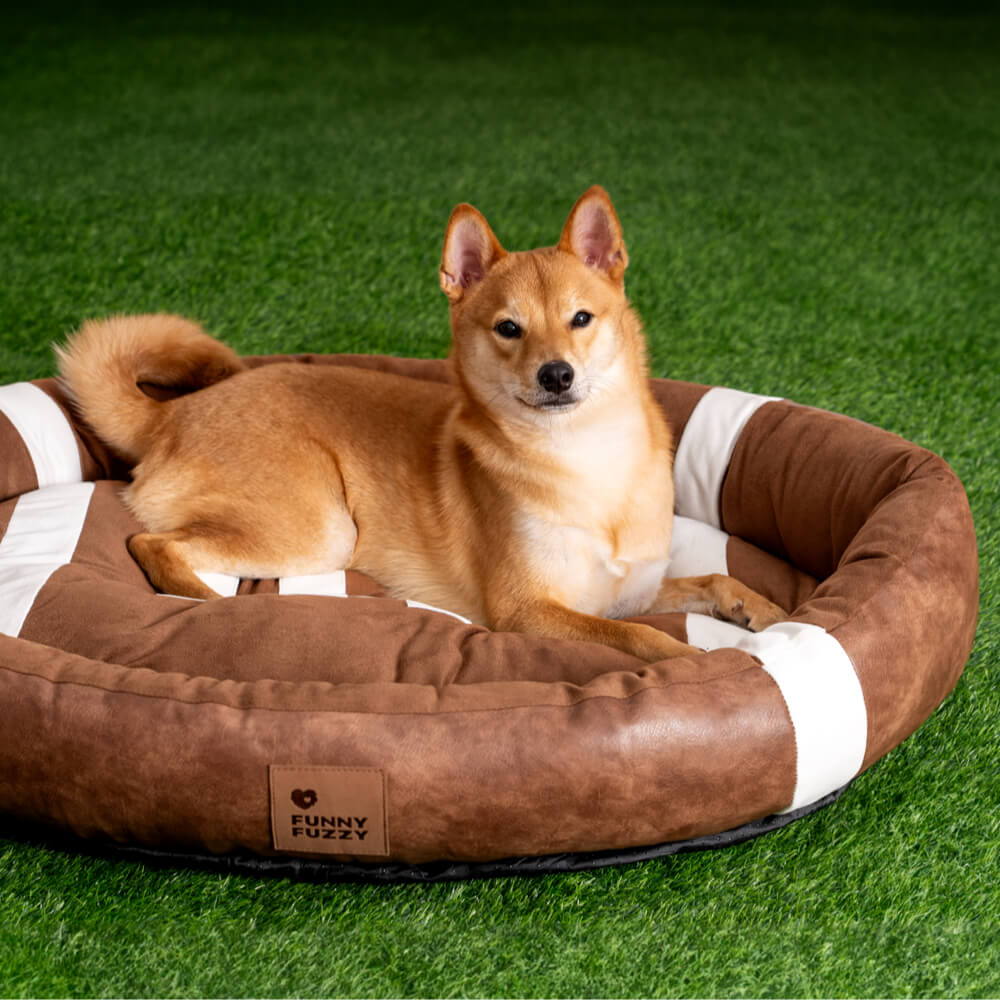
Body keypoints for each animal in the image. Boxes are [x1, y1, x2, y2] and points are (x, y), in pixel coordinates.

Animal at [58, 186, 784, 664]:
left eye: (581, 318)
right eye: (508, 329)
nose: (556, 374)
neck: (585, 460)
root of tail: (172, 412)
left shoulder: (628, 590)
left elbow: (710, 580)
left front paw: (763, 611)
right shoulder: (530, 612)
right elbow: (643, 637)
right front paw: (701, 663)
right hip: (324, 529)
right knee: (152, 544)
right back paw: (203, 601)